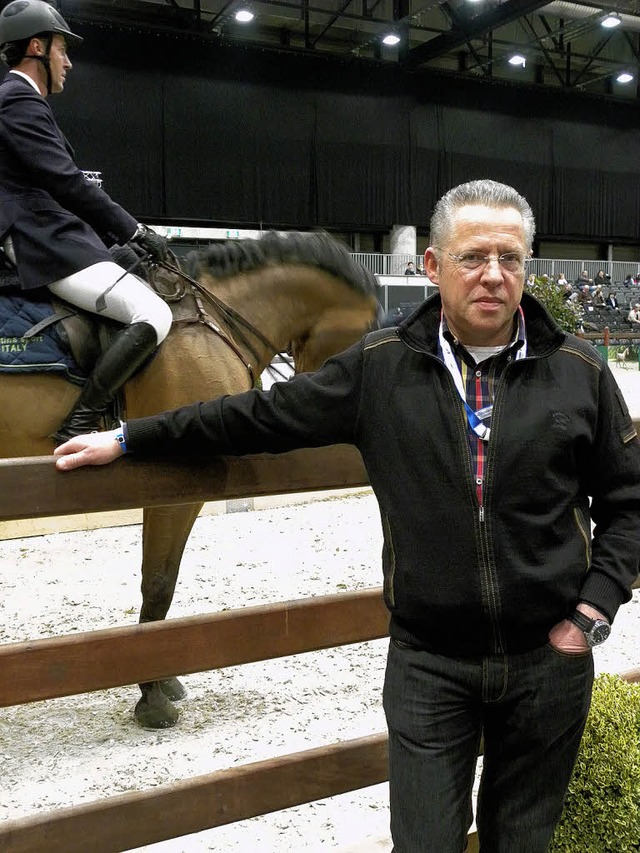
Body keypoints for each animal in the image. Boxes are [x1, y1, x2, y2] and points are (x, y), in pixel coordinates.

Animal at [0, 231, 380, 724]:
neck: (217, 321)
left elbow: (164, 582)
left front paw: (163, 680)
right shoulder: (173, 485)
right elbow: (158, 582)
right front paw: (151, 696)